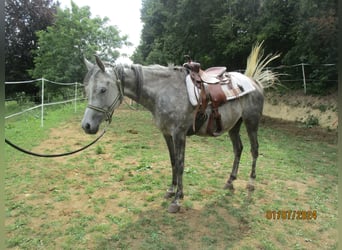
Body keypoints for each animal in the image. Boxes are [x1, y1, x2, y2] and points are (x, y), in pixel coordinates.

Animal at [81, 43, 280, 213]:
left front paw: (177, 199)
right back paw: (230, 181)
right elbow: (173, 162)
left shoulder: (179, 134)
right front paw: (171, 190)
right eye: (86, 89)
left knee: (254, 150)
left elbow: (181, 163)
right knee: (238, 149)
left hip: (251, 122)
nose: (86, 126)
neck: (164, 91)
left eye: (103, 90)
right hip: (234, 126)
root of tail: (253, 82)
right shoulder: (167, 134)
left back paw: (251, 183)